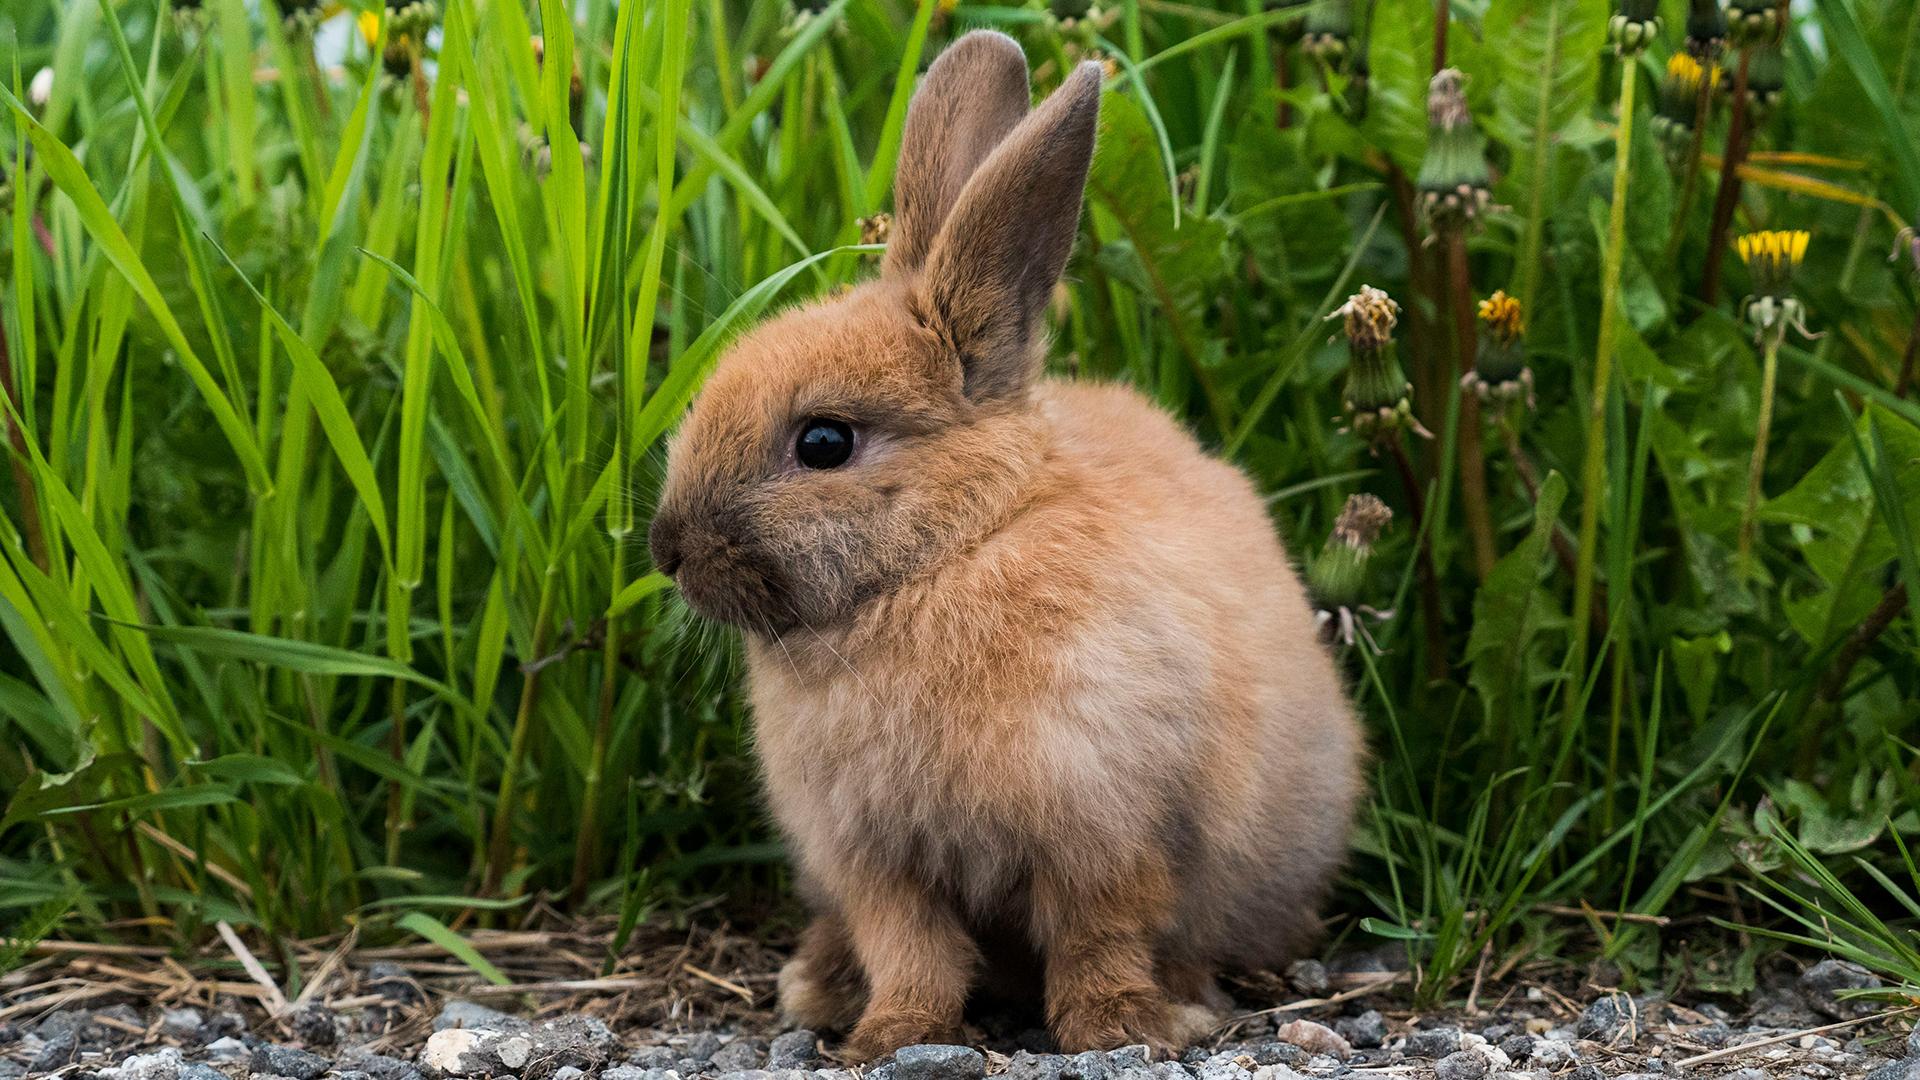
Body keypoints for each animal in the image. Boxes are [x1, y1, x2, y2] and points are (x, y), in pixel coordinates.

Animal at [652, 29, 1374, 1053]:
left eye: (824, 442)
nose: (667, 549)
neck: (949, 556)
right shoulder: (878, 860)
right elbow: (911, 952)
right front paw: (890, 1036)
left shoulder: (1108, 827)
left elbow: (1097, 936)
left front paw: (1118, 1028)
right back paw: (820, 986)